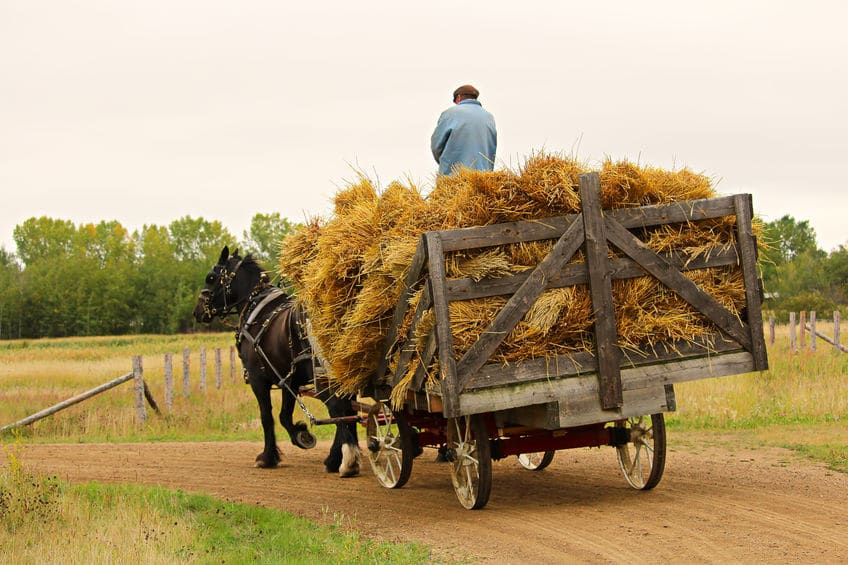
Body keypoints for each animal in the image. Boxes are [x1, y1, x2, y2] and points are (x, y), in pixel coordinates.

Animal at [193, 246, 360, 477]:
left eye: (211, 278)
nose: (198, 311)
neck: (256, 309)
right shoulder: (289, 379)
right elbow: (284, 415)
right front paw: (301, 434)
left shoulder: (258, 379)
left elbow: (267, 417)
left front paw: (268, 456)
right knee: (349, 411)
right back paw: (338, 459)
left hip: (325, 375)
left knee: (338, 409)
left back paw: (346, 460)